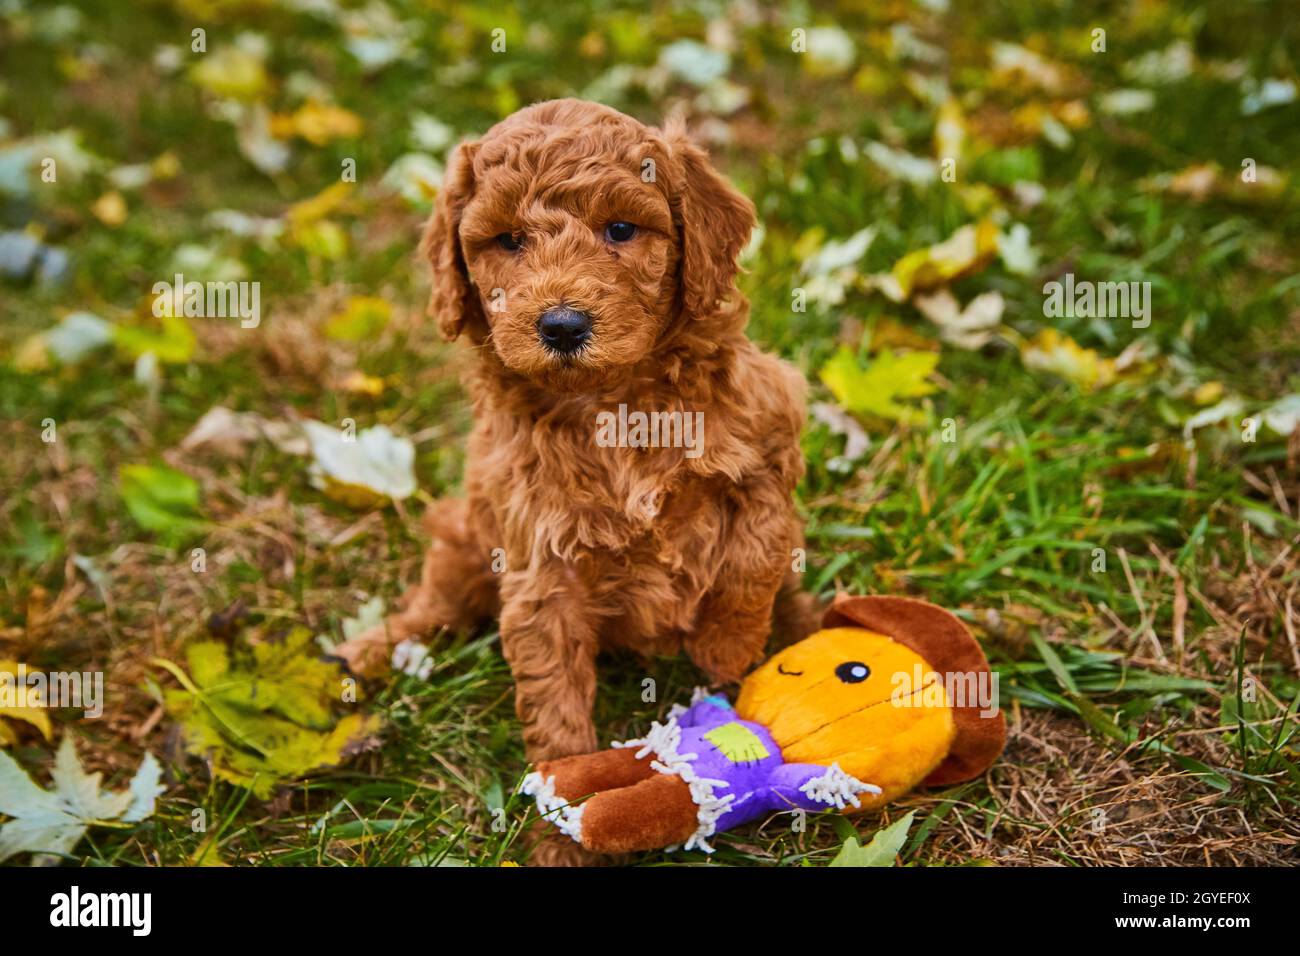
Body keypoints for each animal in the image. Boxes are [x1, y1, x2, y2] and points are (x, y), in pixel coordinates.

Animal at [340, 98, 816, 770]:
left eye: (620, 229)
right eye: (508, 240)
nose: (562, 326)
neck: (611, 404)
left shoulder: (769, 437)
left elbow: (756, 552)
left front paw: (728, 646)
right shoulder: (540, 554)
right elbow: (550, 677)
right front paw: (564, 786)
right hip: (465, 536)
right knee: (435, 604)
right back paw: (367, 652)